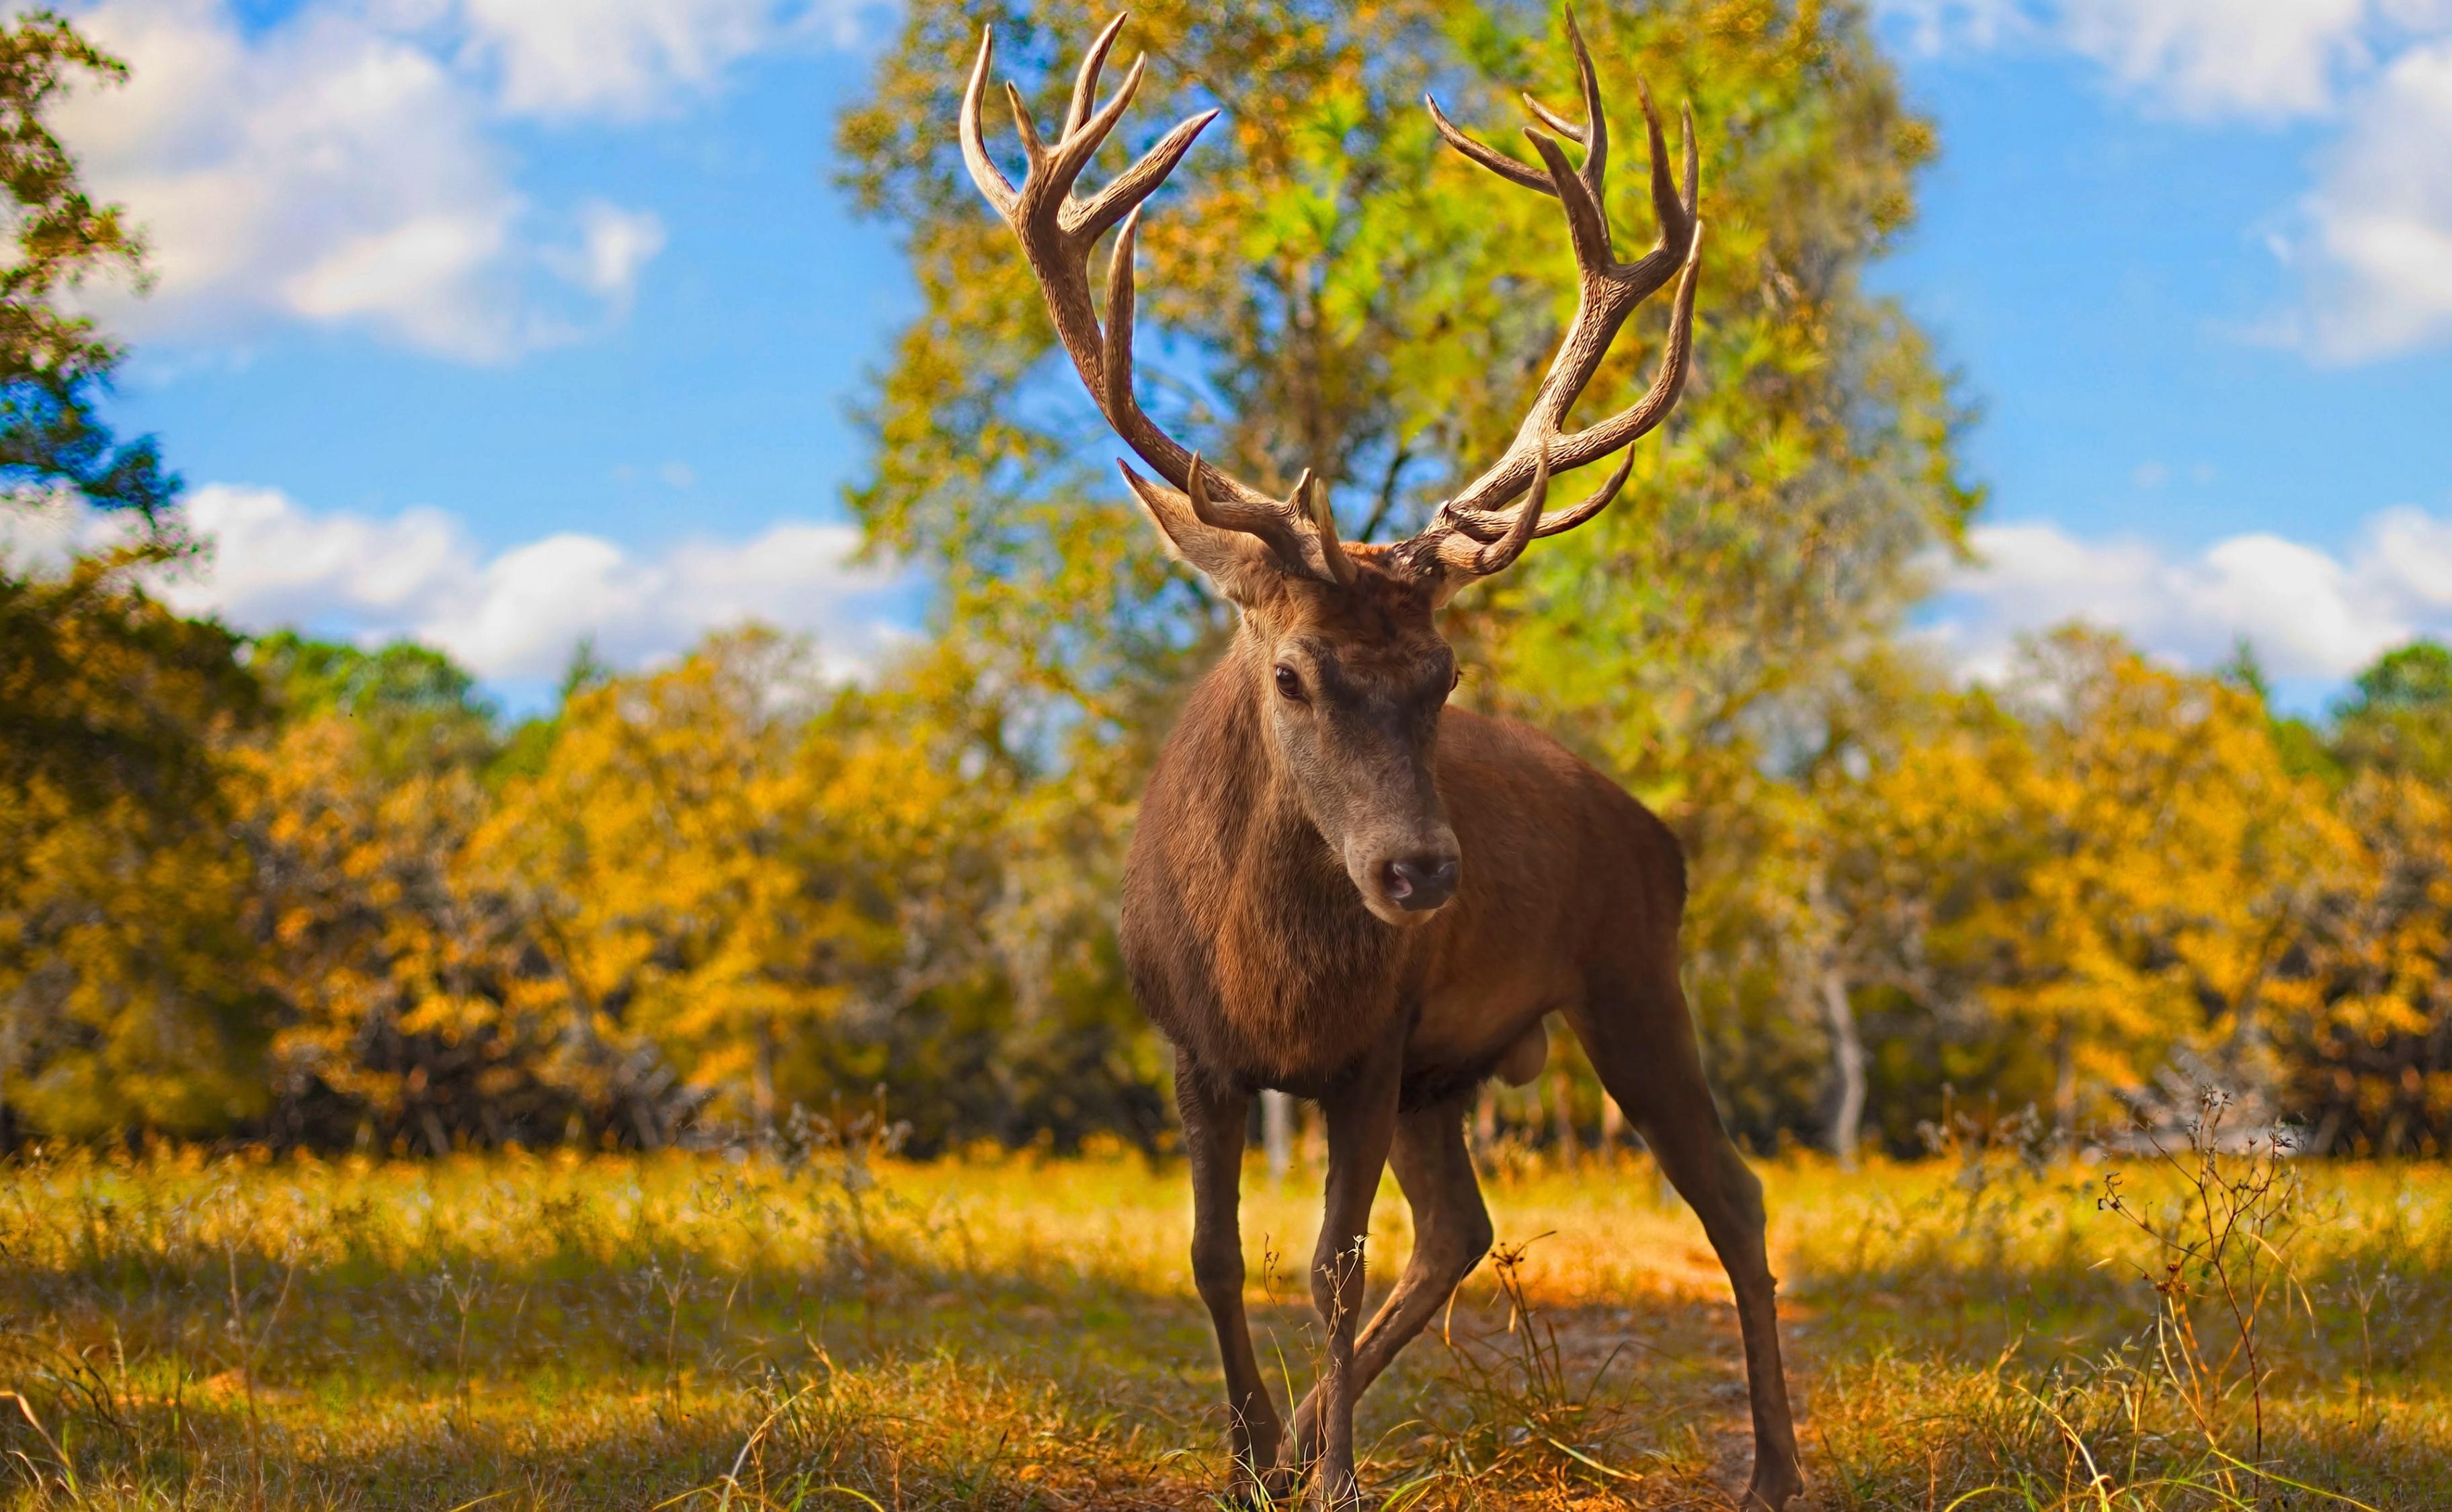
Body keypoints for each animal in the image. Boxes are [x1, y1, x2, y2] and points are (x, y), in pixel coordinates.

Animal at [956, 11, 1804, 1509]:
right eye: (1293, 673)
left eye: (1442, 678)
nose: (1419, 875)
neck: (1269, 982)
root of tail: (1659, 835)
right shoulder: (1193, 1046)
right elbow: (1212, 1256)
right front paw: (1252, 1455)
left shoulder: (1370, 1047)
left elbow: (1330, 1268)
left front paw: (1337, 1475)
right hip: (1451, 1072)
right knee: (1462, 1227)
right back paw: (1301, 1433)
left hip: (1628, 978)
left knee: (1732, 1195)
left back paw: (1769, 1466)